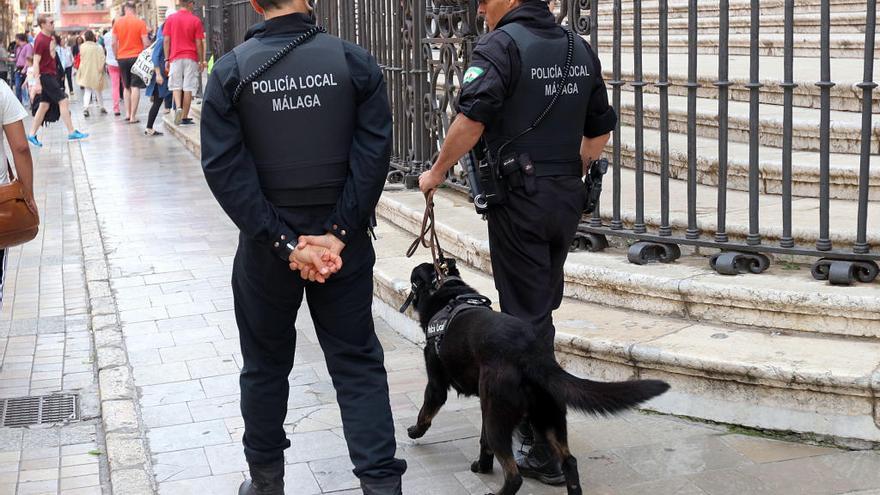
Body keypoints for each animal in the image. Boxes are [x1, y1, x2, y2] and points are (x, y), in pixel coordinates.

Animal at [404, 262, 668, 494]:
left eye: (413, 280)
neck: (448, 291)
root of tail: (531, 354)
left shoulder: (437, 386)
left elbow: (425, 412)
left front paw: (415, 431)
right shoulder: (485, 404)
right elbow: (483, 443)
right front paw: (482, 466)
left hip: (499, 418)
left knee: (514, 477)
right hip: (547, 417)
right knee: (569, 462)